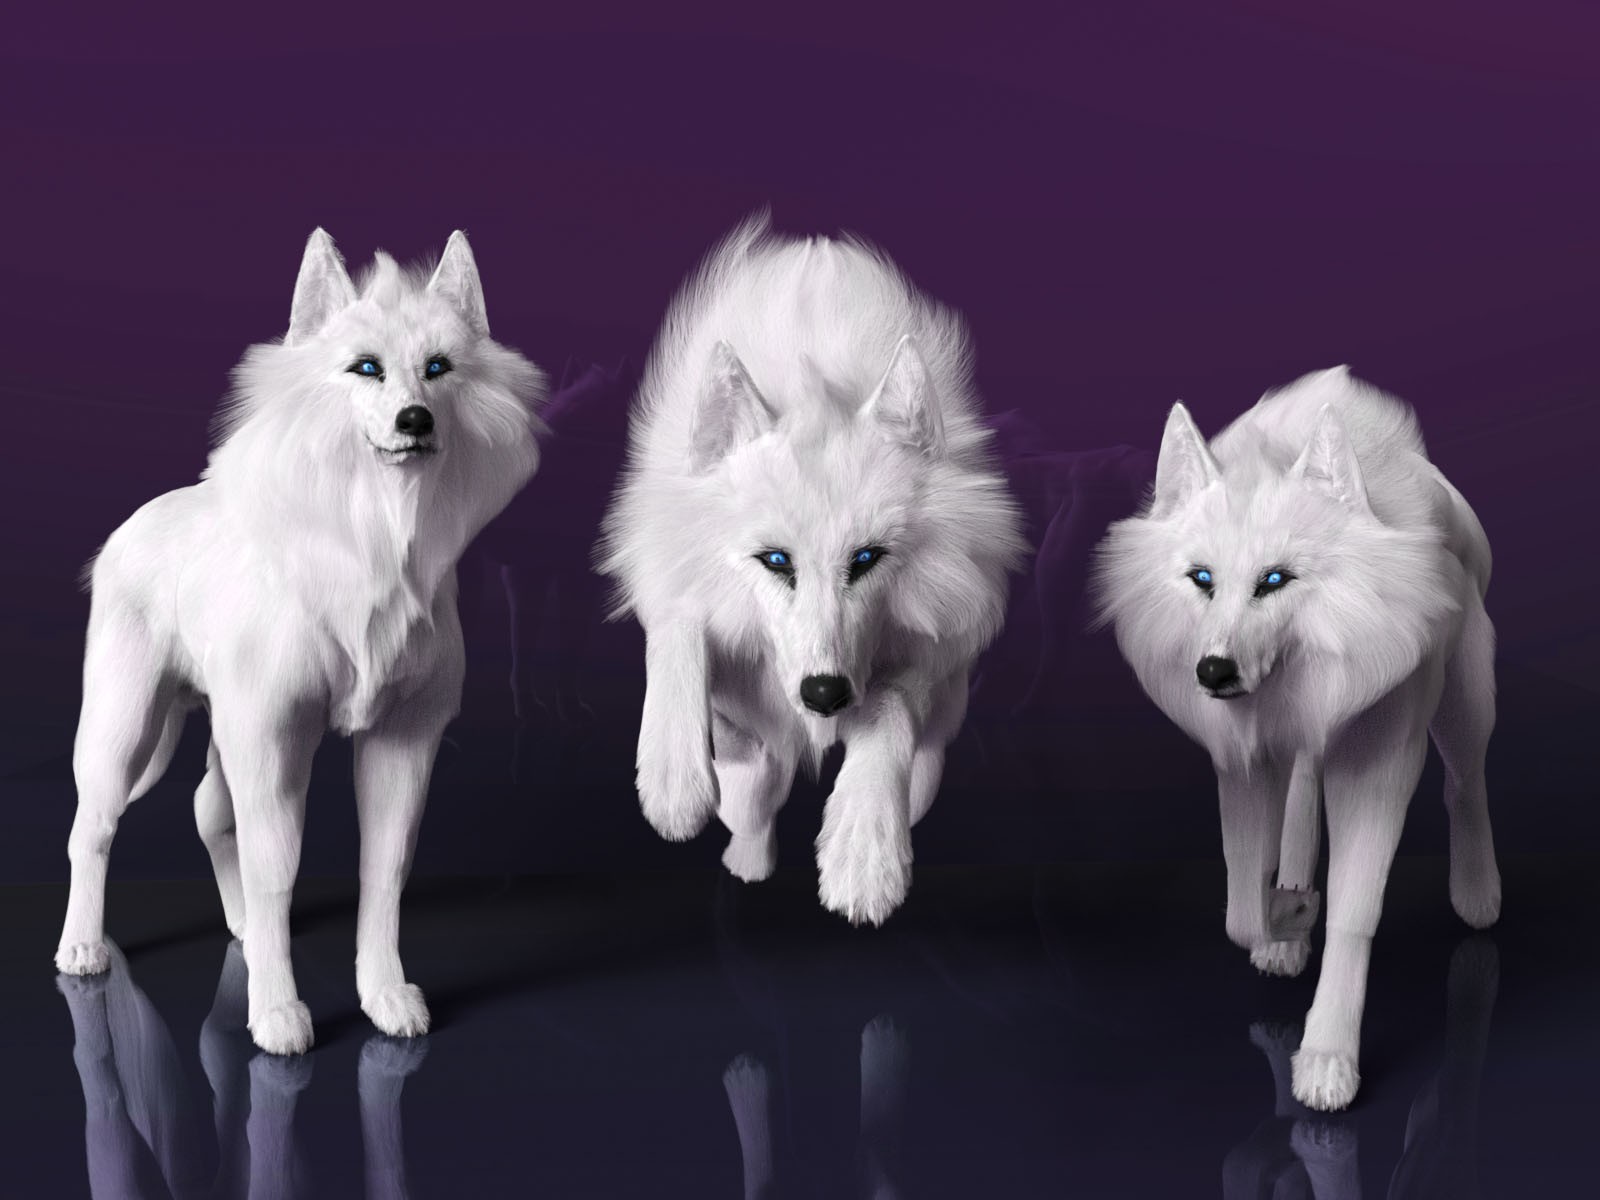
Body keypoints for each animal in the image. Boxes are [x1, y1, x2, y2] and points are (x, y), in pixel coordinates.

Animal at [54, 229, 546, 1055]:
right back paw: (83, 947)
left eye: (439, 369)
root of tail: (133, 524)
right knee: (91, 828)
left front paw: (383, 995)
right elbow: (277, 869)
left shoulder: (400, 743)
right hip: (124, 726)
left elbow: (383, 872)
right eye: (366, 368)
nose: (416, 420)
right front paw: (278, 1012)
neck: (373, 545)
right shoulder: (274, 740)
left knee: (207, 812)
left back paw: (243, 929)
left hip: (219, 729)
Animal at [597, 215, 1026, 926]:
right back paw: (745, 859)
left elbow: (886, 711)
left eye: (867, 559)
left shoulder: (924, 655)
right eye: (775, 561)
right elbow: (679, 630)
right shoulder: (684, 604)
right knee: (752, 804)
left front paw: (864, 850)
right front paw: (671, 777)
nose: (824, 694)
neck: (815, 377)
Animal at [1093, 366, 1501, 1111]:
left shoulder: (1376, 766)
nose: (1213, 671)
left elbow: (1354, 912)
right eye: (1202, 579)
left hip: (1463, 706)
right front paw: (1288, 916)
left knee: (1465, 783)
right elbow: (1240, 906)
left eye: (1275, 579)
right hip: (1308, 752)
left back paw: (1478, 894)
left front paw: (1328, 1060)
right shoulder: (1247, 763)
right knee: (1303, 808)